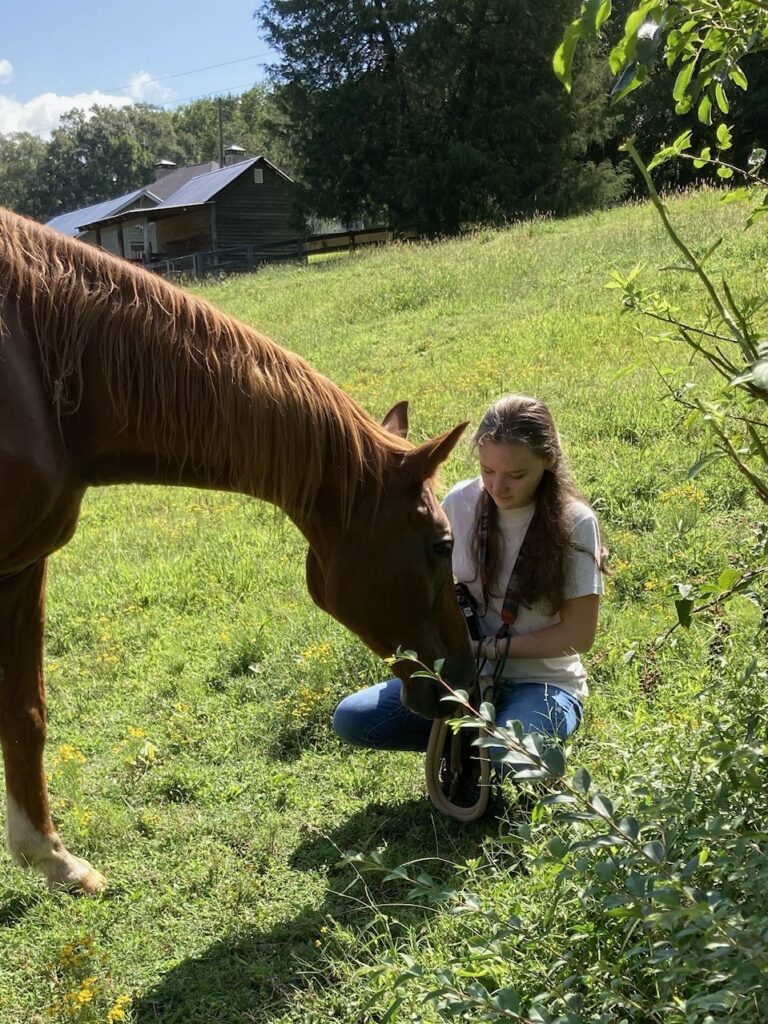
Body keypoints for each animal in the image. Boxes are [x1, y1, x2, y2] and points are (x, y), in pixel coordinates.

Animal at [0, 205, 475, 888]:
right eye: (441, 544)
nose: (464, 680)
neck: (40, 366)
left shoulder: (23, 566)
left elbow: (25, 713)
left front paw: (53, 859)